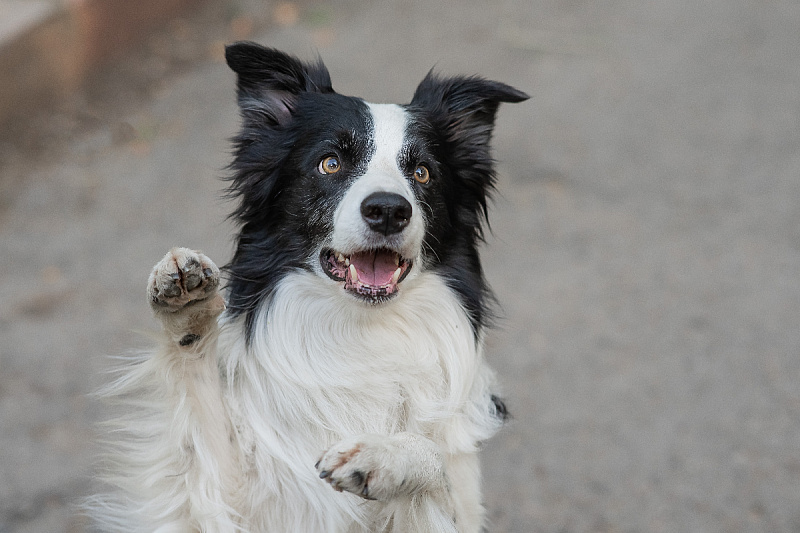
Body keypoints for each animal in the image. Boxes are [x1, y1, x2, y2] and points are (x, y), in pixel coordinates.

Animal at [89, 42, 524, 532]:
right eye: (330, 163)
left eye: (423, 173)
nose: (388, 210)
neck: (359, 331)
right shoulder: (219, 505)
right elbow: (197, 426)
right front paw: (187, 307)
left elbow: (434, 460)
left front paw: (382, 454)